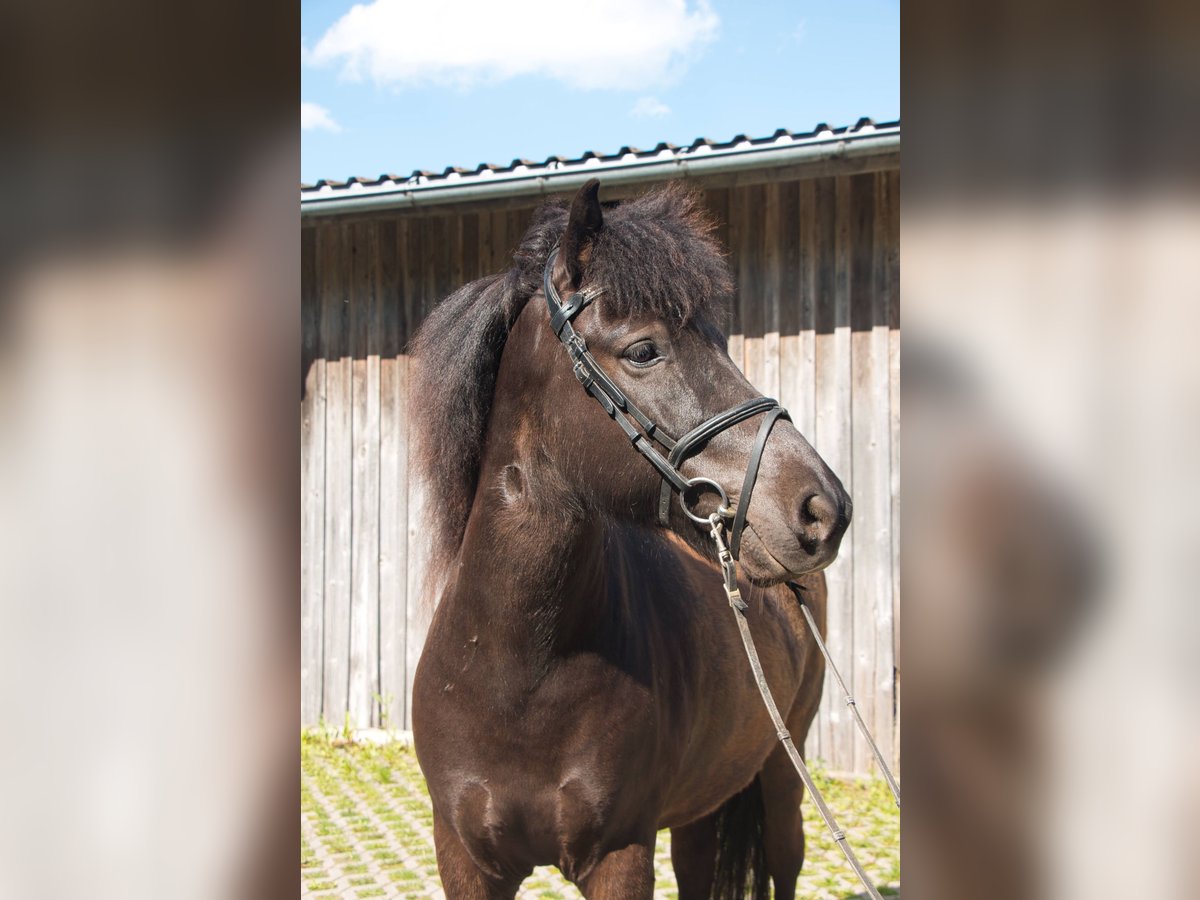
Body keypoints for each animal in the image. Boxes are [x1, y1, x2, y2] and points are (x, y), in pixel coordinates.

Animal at [412, 177, 854, 900]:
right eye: (644, 350)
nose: (824, 509)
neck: (517, 675)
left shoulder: (619, 855)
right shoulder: (464, 859)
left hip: (784, 780)